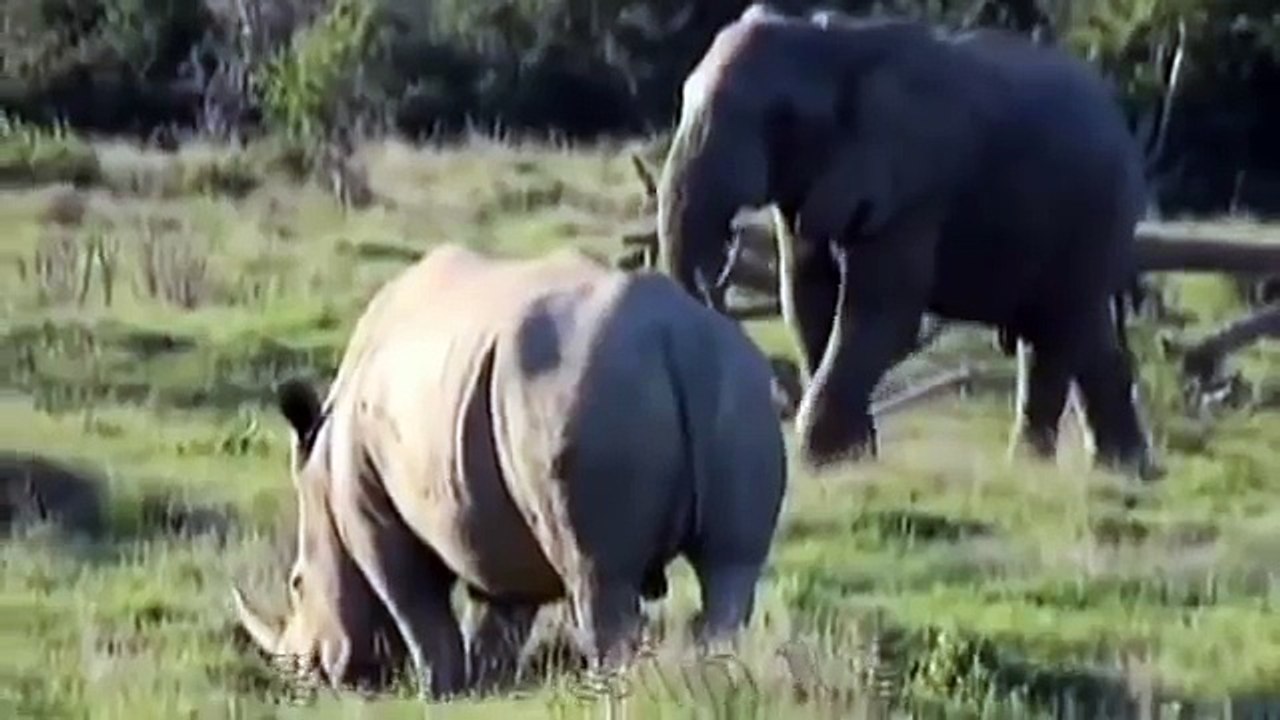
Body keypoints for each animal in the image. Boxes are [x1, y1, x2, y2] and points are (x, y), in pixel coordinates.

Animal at [230, 243, 787, 698]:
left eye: (297, 583)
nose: (307, 678)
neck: (322, 462)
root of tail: (673, 333)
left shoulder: (370, 510)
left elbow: (413, 601)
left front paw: (440, 691)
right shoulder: (489, 514)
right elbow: (503, 608)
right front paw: (487, 684)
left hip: (583, 390)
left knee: (598, 577)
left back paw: (613, 691)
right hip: (738, 382)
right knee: (731, 568)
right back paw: (715, 677)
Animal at [655, 4, 1157, 478]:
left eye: (780, 117)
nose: (725, 257)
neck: (833, 46)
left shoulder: (918, 180)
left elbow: (883, 311)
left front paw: (825, 462)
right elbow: (806, 297)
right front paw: (853, 461)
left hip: (1095, 217)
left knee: (1058, 332)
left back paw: (1060, 469)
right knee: (1077, 336)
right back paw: (1116, 470)